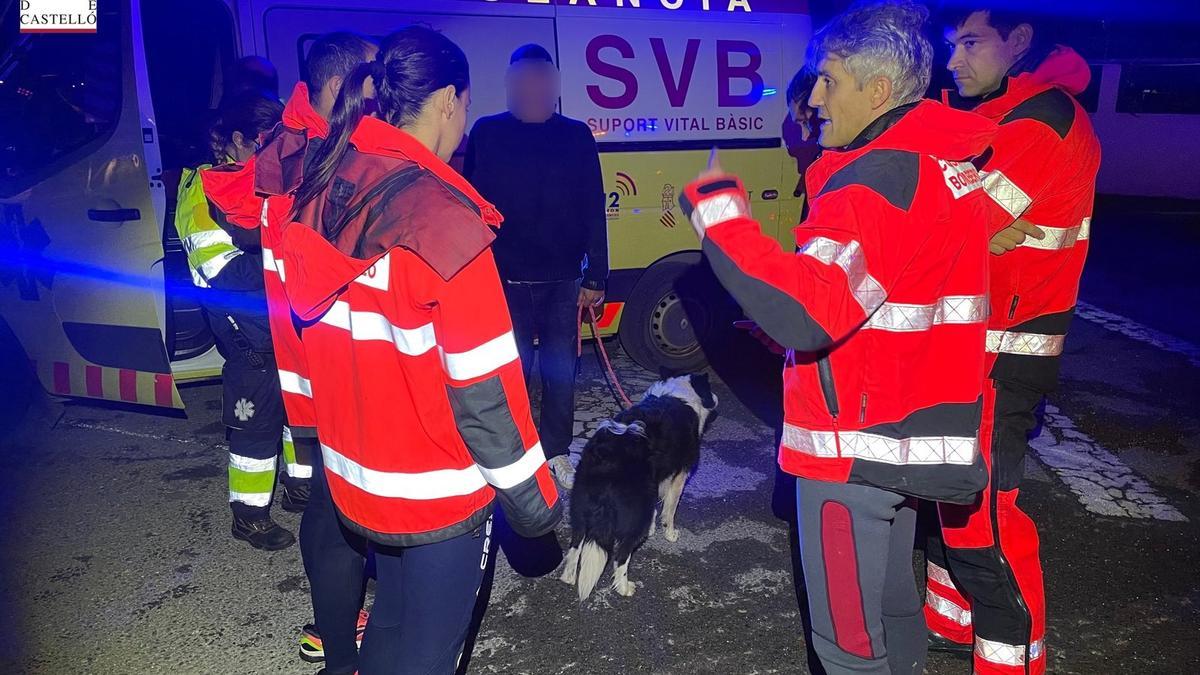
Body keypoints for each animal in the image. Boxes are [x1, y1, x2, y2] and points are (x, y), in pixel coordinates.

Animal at [559, 372, 715, 598]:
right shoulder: (680, 474)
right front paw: (670, 534)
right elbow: (670, 509)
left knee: (575, 546)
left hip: (579, 506)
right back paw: (624, 588)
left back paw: (569, 577)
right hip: (633, 516)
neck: (681, 393)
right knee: (621, 556)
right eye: (710, 387)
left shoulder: (656, 480)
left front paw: (653, 528)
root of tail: (606, 459)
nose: (716, 398)